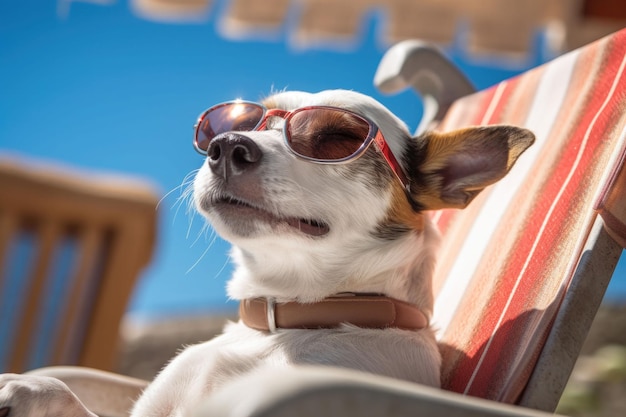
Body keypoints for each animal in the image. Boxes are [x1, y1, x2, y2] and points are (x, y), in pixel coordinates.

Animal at [0, 89, 532, 414]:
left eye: (338, 137)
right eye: (244, 120)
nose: (225, 144)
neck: (286, 320)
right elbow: (61, 388)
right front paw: (21, 384)